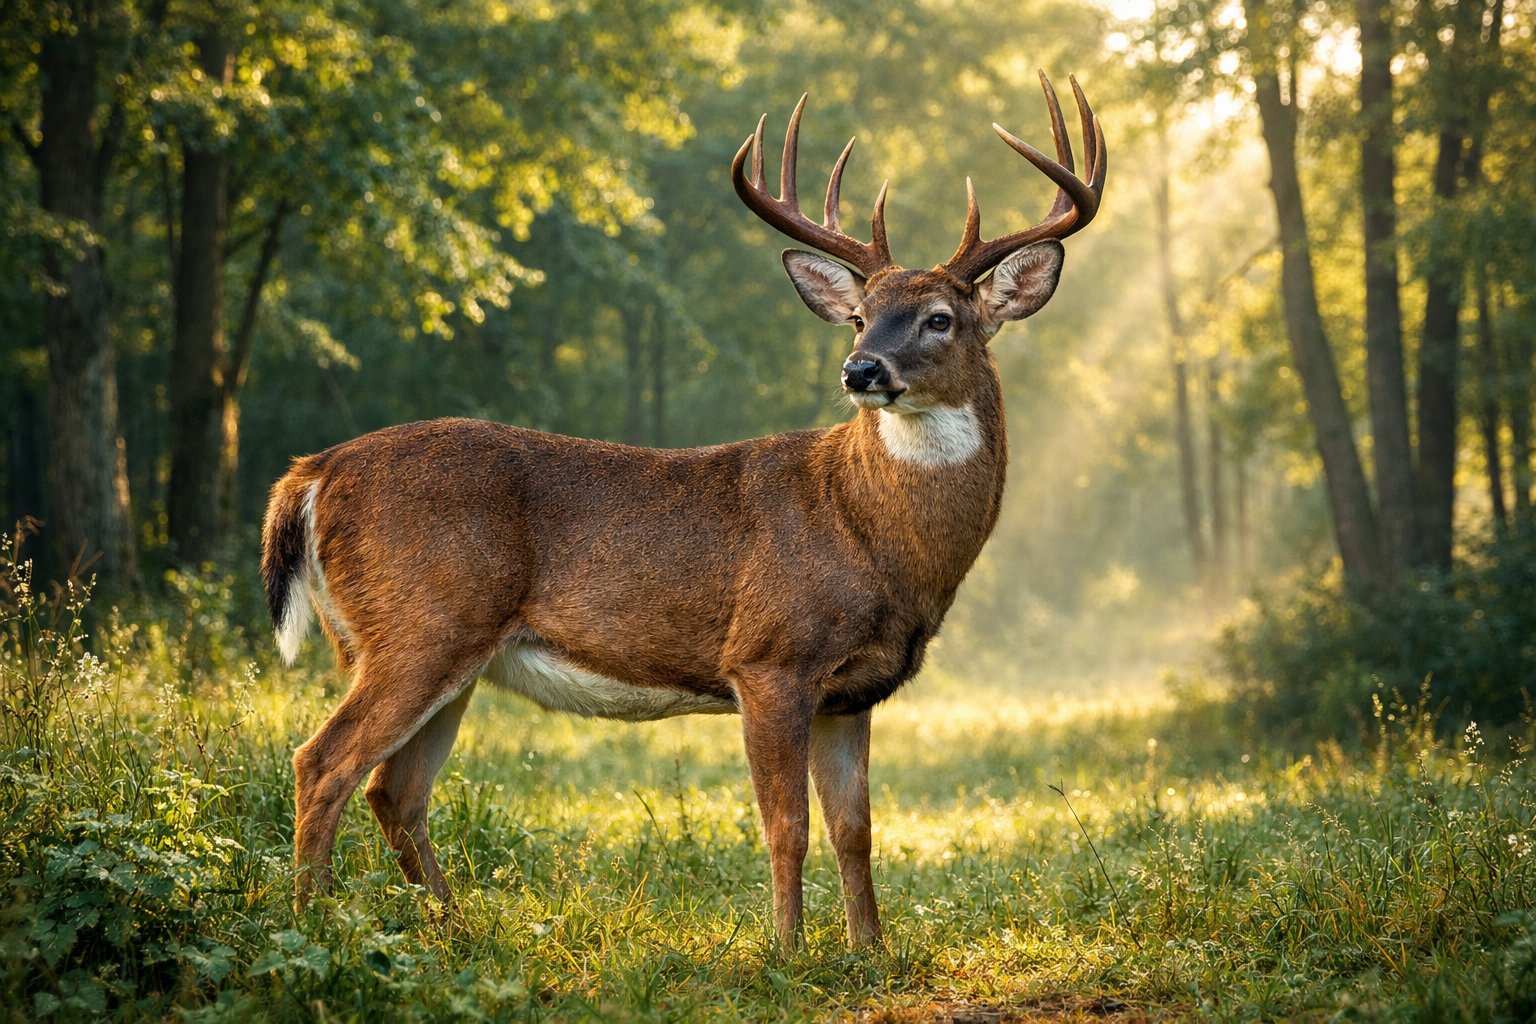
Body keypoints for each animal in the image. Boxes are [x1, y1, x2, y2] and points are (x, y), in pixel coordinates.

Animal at [261, 71, 1105, 948]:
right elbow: (786, 825)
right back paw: (313, 926)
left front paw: (870, 952)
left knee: (395, 790)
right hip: (418, 623)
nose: (860, 369)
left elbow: (856, 829)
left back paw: (453, 932)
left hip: (443, 649)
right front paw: (788, 952)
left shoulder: (854, 691)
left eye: (941, 319)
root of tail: (310, 474)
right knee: (323, 762)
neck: (870, 532)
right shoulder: (768, 658)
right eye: (859, 315)